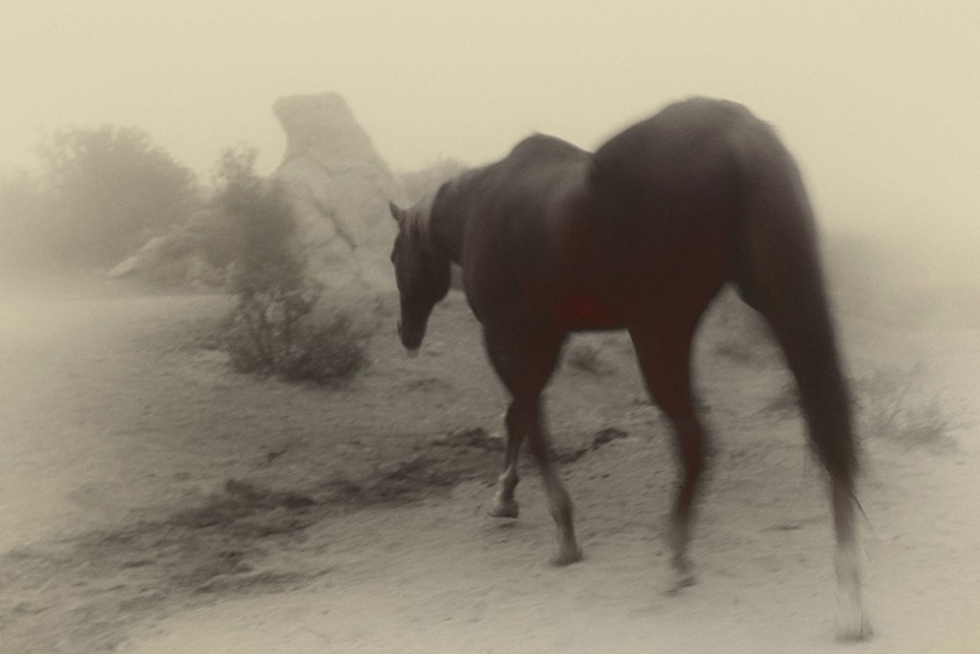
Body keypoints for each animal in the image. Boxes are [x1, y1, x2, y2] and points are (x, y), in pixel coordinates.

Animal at [388, 97, 870, 640]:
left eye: (395, 254)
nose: (406, 332)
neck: (478, 208)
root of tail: (739, 135)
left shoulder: (504, 337)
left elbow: (530, 420)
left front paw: (562, 529)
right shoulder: (545, 337)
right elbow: (518, 417)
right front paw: (506, 496)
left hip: (659, 330)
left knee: (695, 438)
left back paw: (678, 554)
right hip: (780, 302)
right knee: (829, 430)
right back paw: (849, 596)